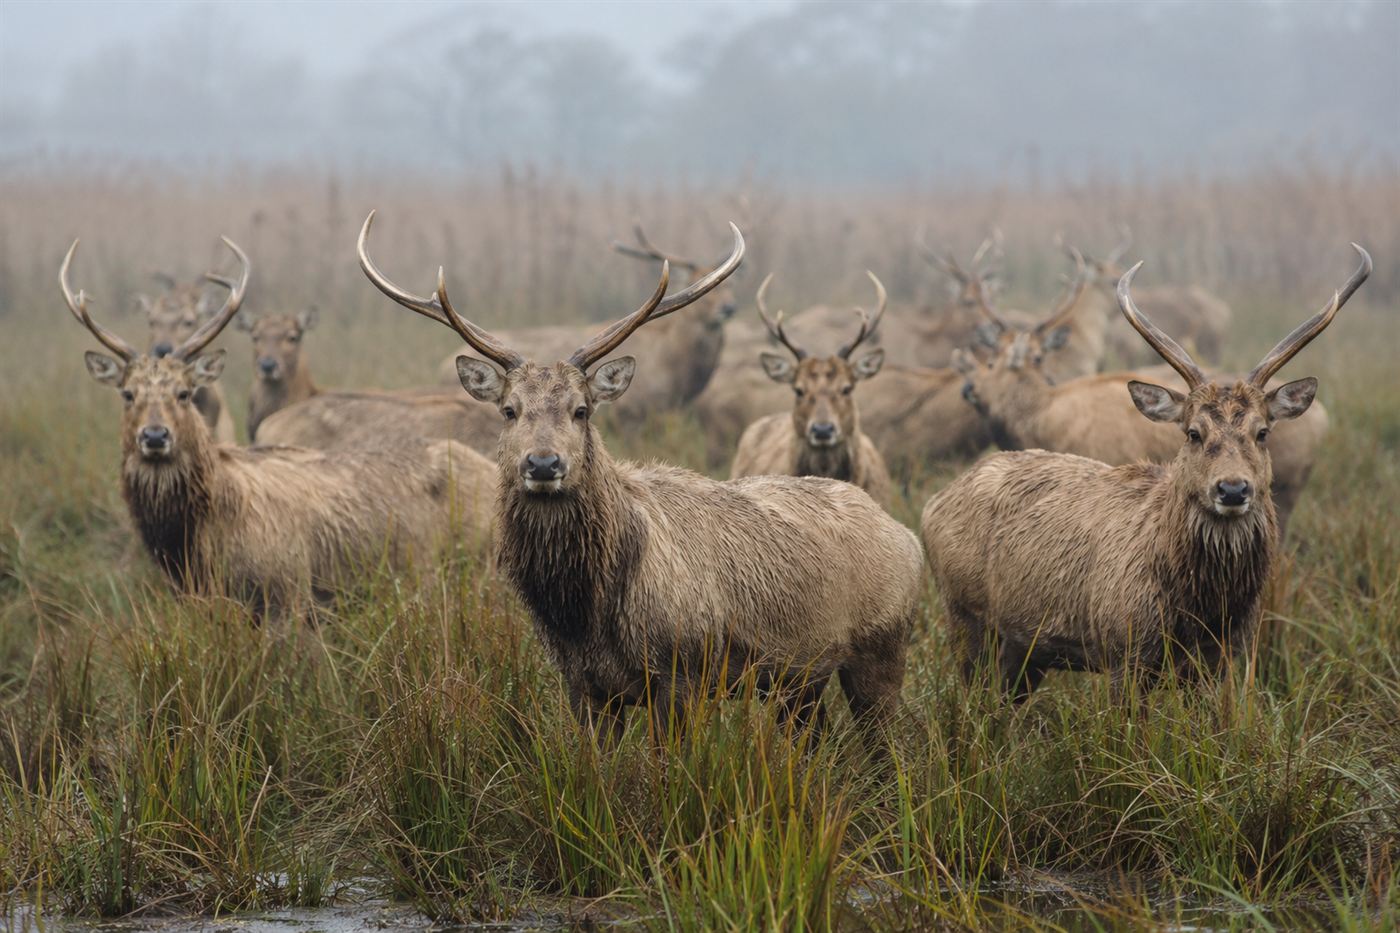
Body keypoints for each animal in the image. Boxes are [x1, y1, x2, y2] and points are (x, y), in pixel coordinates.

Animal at [922, 244, 1369, 701]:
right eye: (1193, 432)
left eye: (1261, 432)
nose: (1232, 489)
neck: (1202, 608)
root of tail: (934, 502)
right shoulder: (1124, 646)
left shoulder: (1224, 654)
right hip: (964, 613)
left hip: (1023, 648)